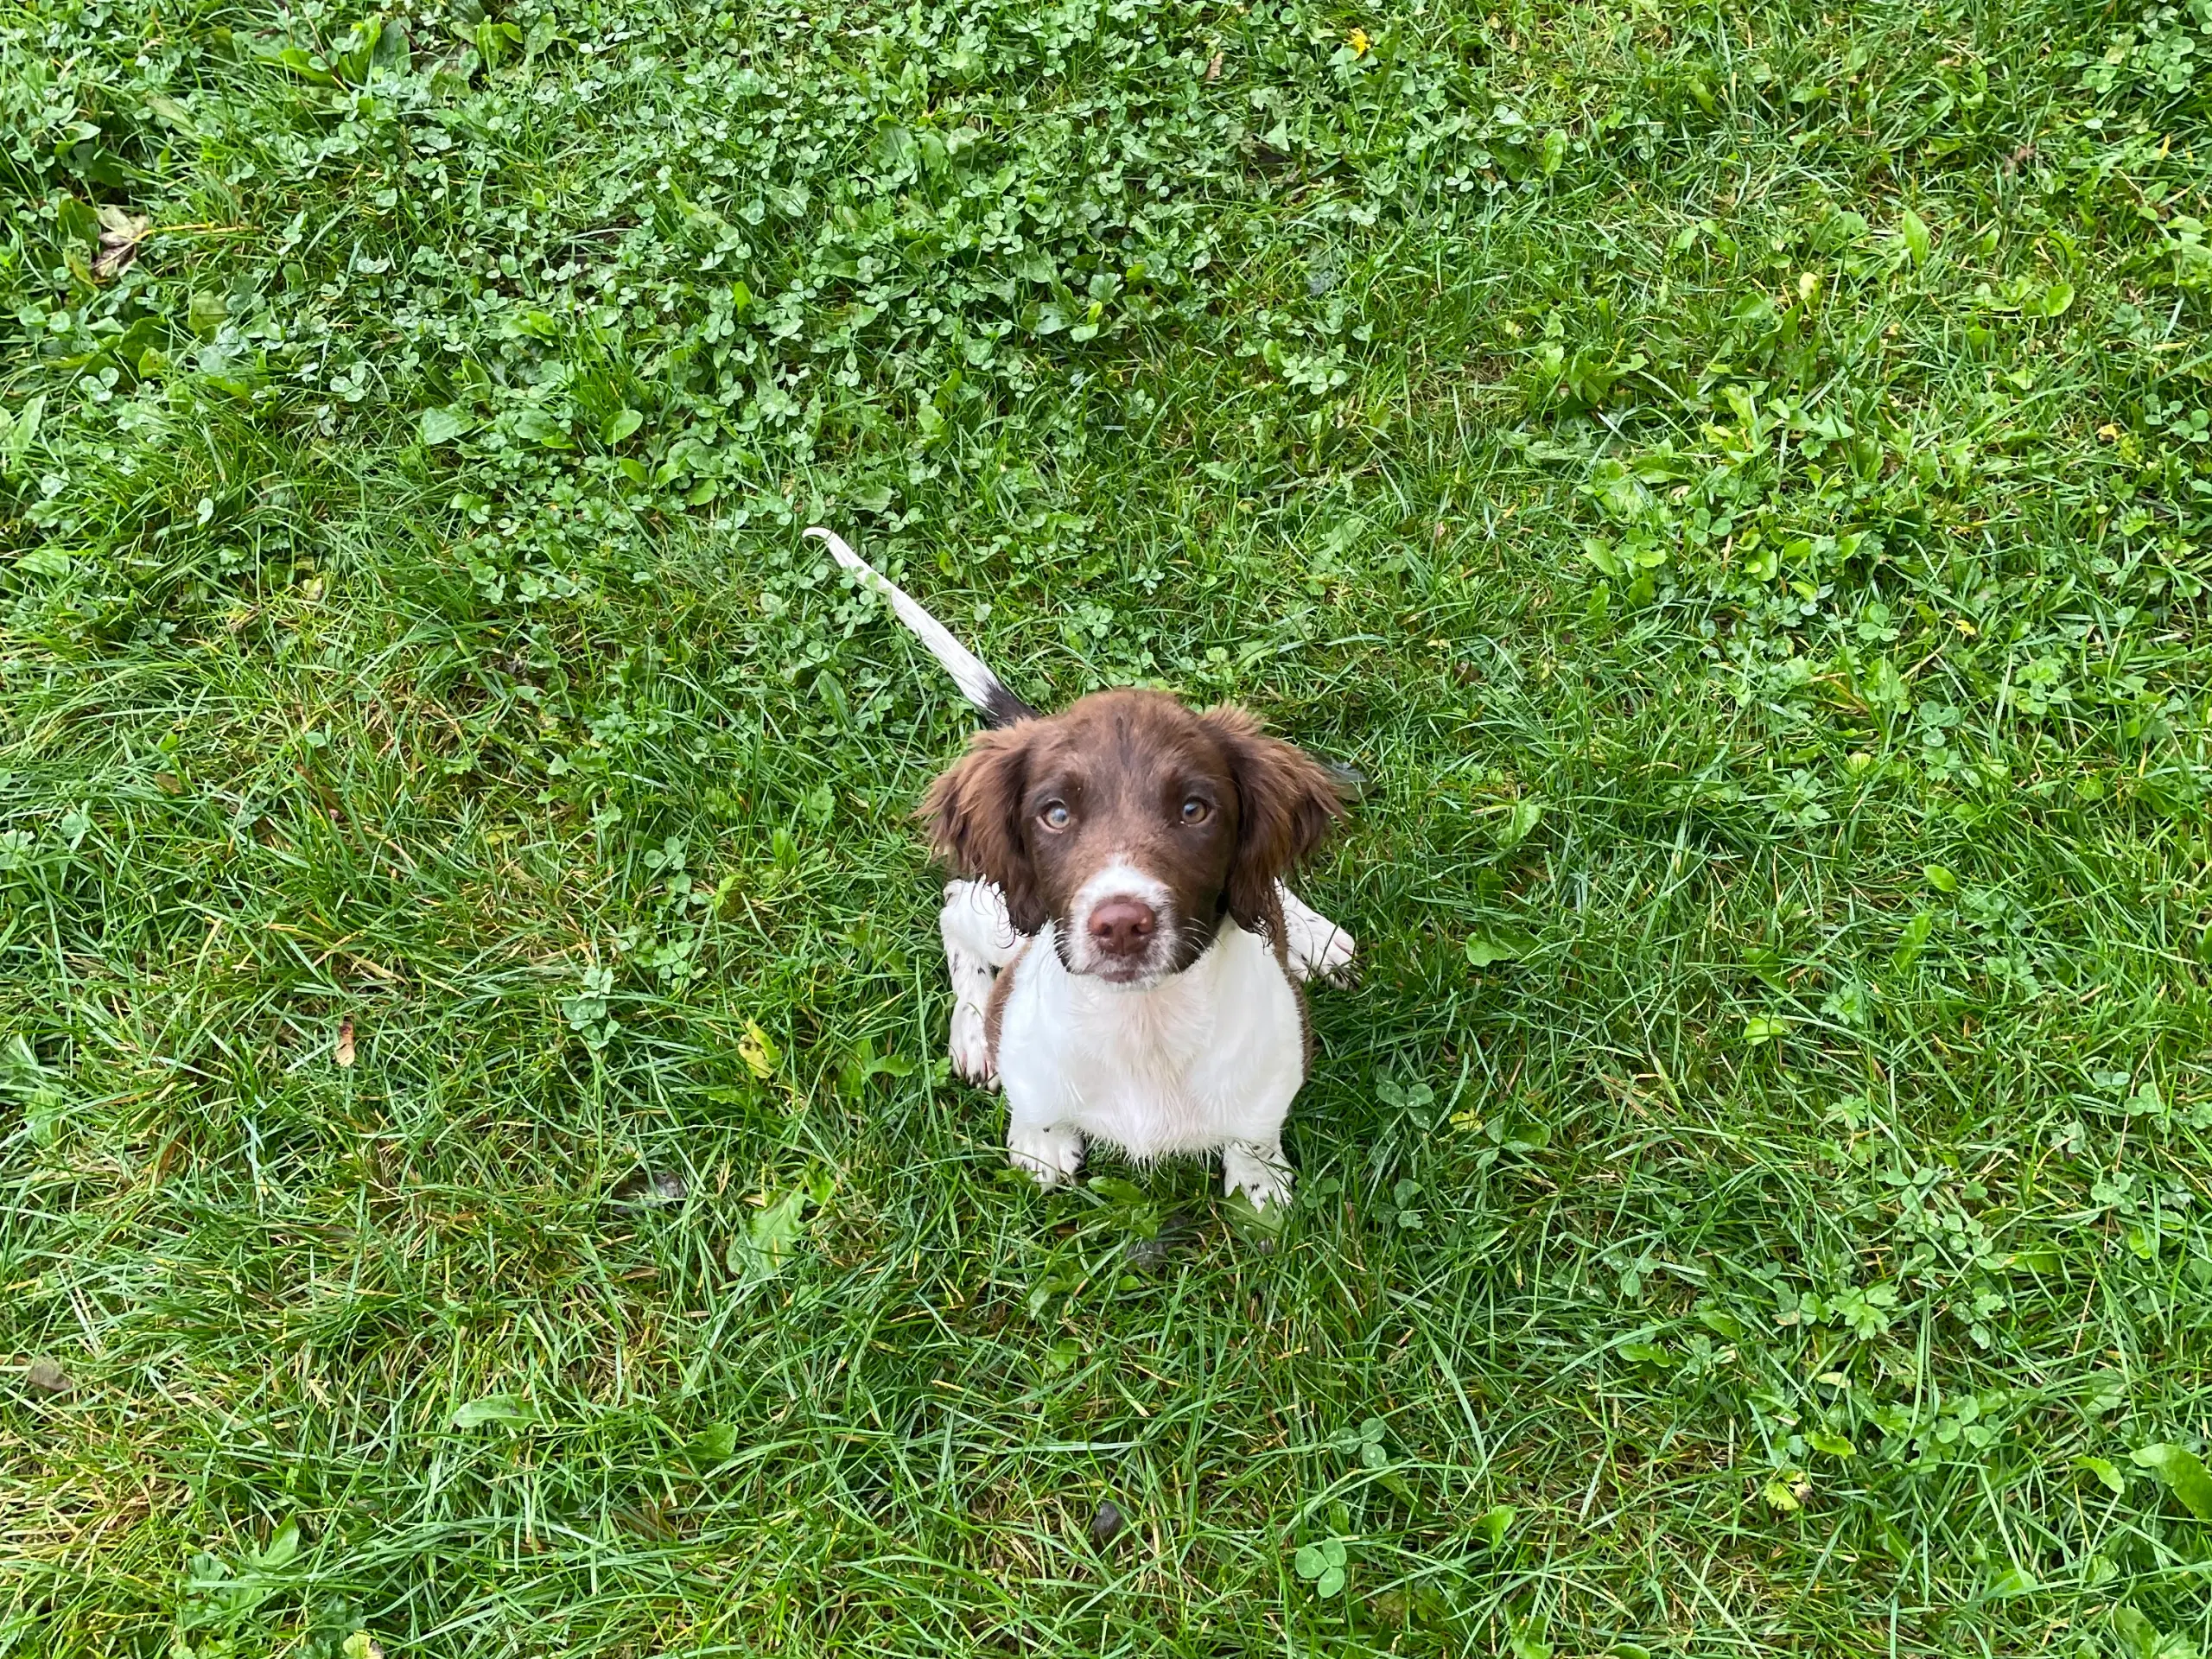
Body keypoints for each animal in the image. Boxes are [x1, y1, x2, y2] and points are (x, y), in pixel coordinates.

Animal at [814, 528, 1353, 1211]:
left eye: (1195, 809)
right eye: (1056, 814)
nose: (1121, 924)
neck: (1142, 1025)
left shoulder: (1275, 1068)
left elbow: (1254, 1132)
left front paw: (1259, 1185)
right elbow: (1035, 1104)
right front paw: (1038, 1142)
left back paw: (1315, 936)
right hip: (1009, 920)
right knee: (957, 901)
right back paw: (971, 1030)